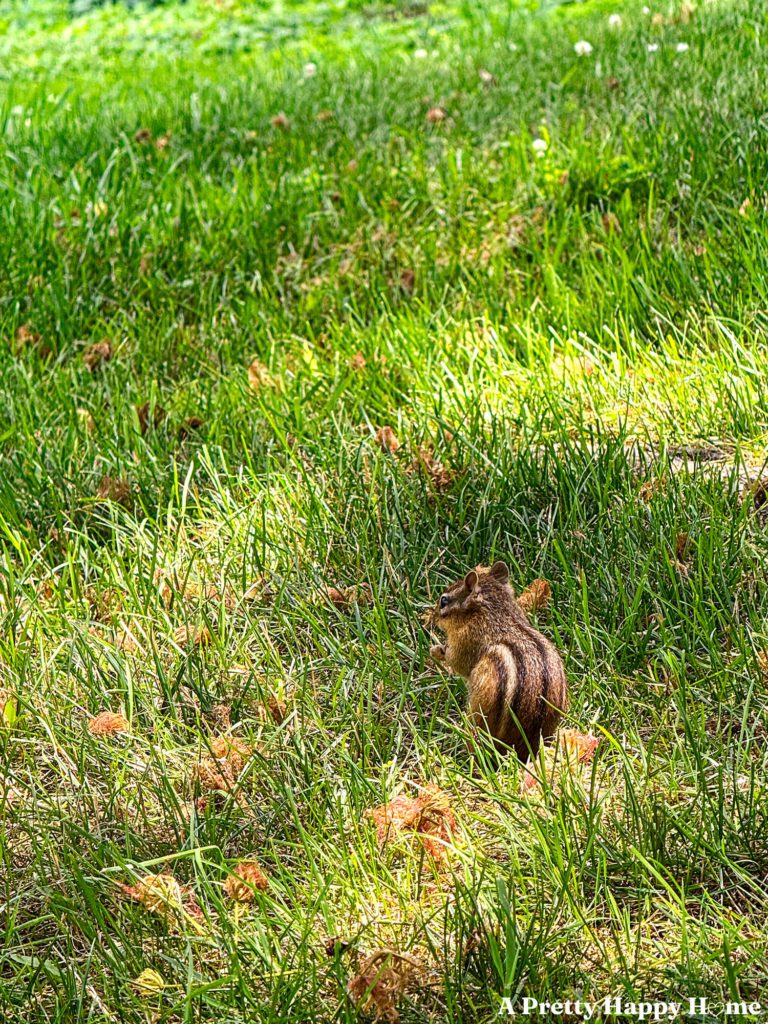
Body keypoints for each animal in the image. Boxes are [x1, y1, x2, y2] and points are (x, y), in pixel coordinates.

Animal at [428, 560, 568, 761]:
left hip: (478, 716)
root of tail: (524, 748)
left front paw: (436, 650)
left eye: (444, 600)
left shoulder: (465, 643)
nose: (433, 617)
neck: (496, 614)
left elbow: (456, 662)